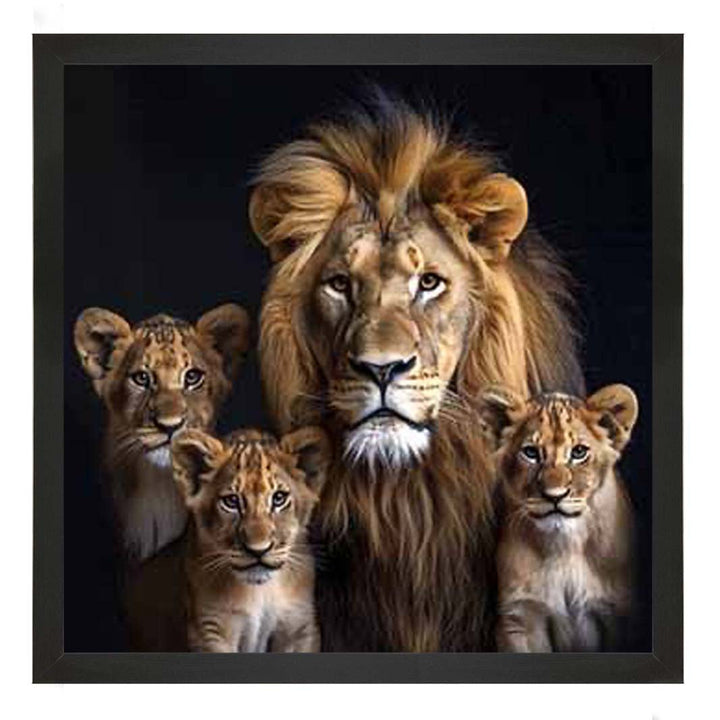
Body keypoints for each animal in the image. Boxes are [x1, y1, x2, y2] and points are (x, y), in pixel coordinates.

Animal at [480, 384, 638, 652]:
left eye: (579, 452)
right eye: (531, 453)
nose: (555, 496)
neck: (565, 545)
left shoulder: (619, 613)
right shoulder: (520, 618)